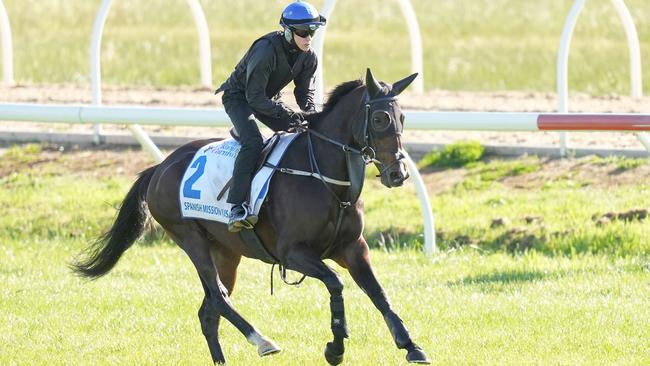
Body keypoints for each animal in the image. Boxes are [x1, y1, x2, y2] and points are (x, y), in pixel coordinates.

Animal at [71, 68, 428, 364]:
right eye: (380, 118)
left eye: (403, 117)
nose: (398, 173)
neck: (326, 180)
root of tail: (159, 167)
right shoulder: (294, 253)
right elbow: (335, 283)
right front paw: (335, 347)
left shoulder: (353, 247)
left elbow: (379, 293)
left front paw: (411, 346)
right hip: (190, 238)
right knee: (218, 298)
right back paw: (262, 341)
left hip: (226, 252)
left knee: (209, 311)